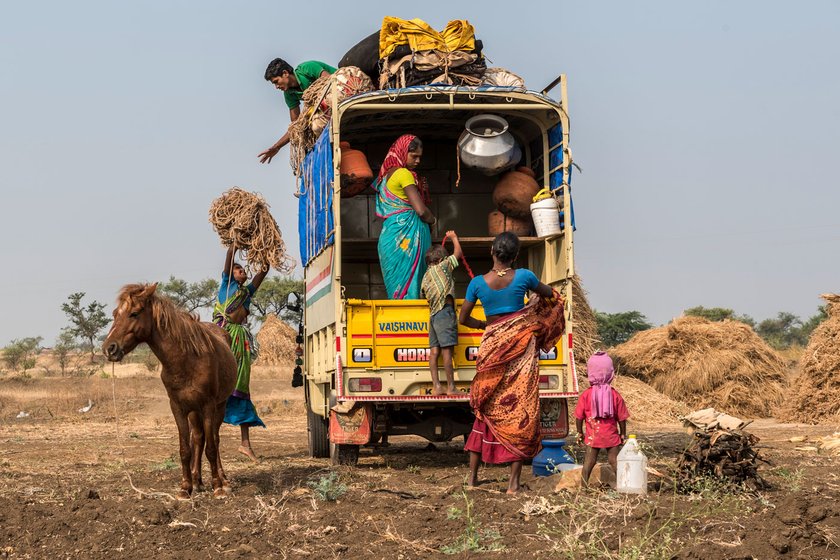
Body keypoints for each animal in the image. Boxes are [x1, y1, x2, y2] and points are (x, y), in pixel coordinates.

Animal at [104, 284, 238, 498]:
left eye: (134, 313)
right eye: (115, 314)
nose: (109, 349)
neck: (187, 360)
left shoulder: (208, 406)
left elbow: (211, 447)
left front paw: (217, 486)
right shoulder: (178, 407)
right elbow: (185, 449)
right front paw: (186, 487)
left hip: (220, 406)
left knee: (214, 440)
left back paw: (223, 480)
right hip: (194, 412)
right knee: (198, 438)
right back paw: (197, 480)